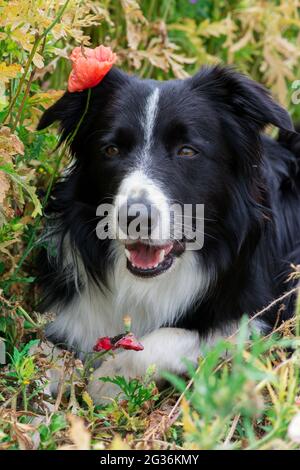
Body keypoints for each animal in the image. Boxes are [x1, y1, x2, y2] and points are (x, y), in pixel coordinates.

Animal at [38, 66, 300, 402]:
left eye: (187, 151)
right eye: (111, 150)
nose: (135, 217)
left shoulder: (261, 315)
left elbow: (167, 338)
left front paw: (110, 379)